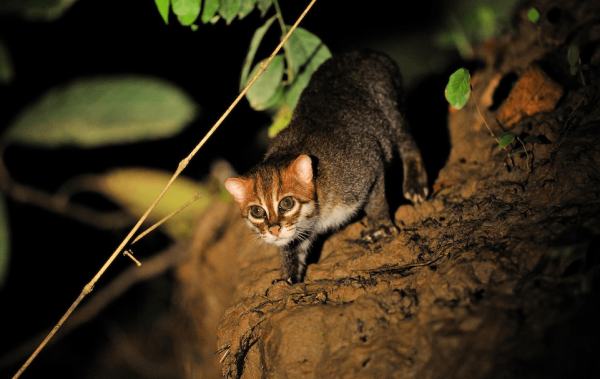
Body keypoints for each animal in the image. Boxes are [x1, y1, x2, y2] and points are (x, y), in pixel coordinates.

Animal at [224, 49, 426, 284]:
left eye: (286, 203)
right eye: (257, 211)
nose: (274, 229)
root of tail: (366, 51)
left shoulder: (368, 163)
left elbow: (376, 201)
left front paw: (381, 227)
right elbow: (290, 250)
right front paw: (287, 280)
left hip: (391, 109)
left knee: (407, 141)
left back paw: (415, 183)